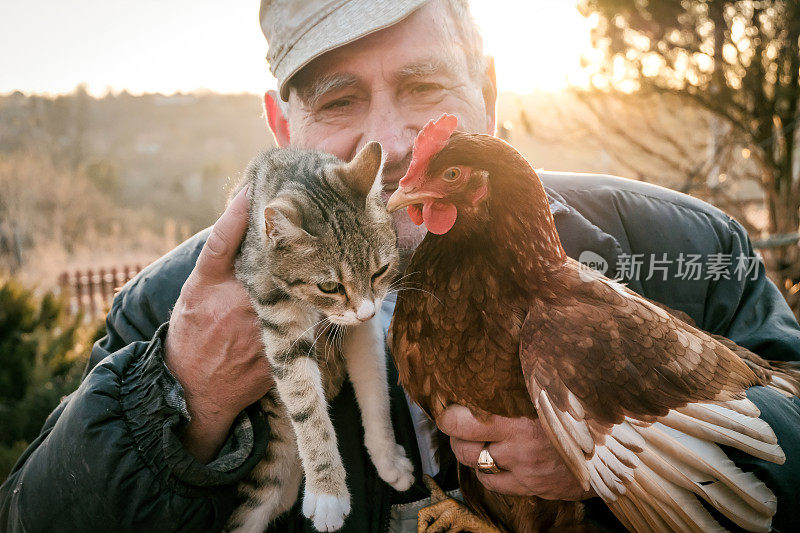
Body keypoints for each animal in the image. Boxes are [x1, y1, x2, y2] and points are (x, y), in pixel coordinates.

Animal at [225, 142, 412, 532]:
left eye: (381, 271)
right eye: (329, 286)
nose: (366, 312)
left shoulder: (361, 330)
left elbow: (376, 393)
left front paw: (388, 459)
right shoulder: (281, 323)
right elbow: (308, 407)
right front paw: (328, 493)